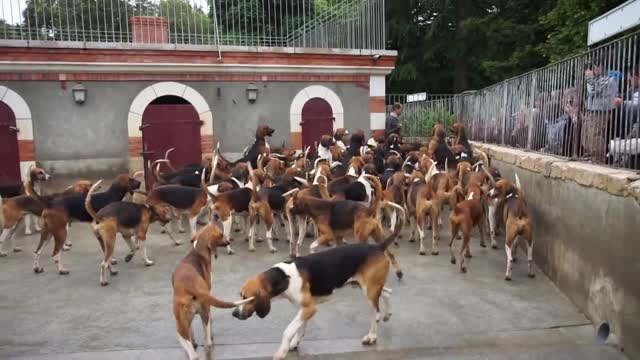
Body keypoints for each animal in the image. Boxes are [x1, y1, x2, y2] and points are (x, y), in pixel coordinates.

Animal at [172, 225, 252, 360]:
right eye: (221, 234)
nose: (230, 240)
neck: (197, 252)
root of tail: (190, 287)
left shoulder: (187, 321)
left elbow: (191, 330)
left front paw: (194, 341)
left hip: (179, 326)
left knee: (192, 352)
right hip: (204, 311)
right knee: (208, 342)